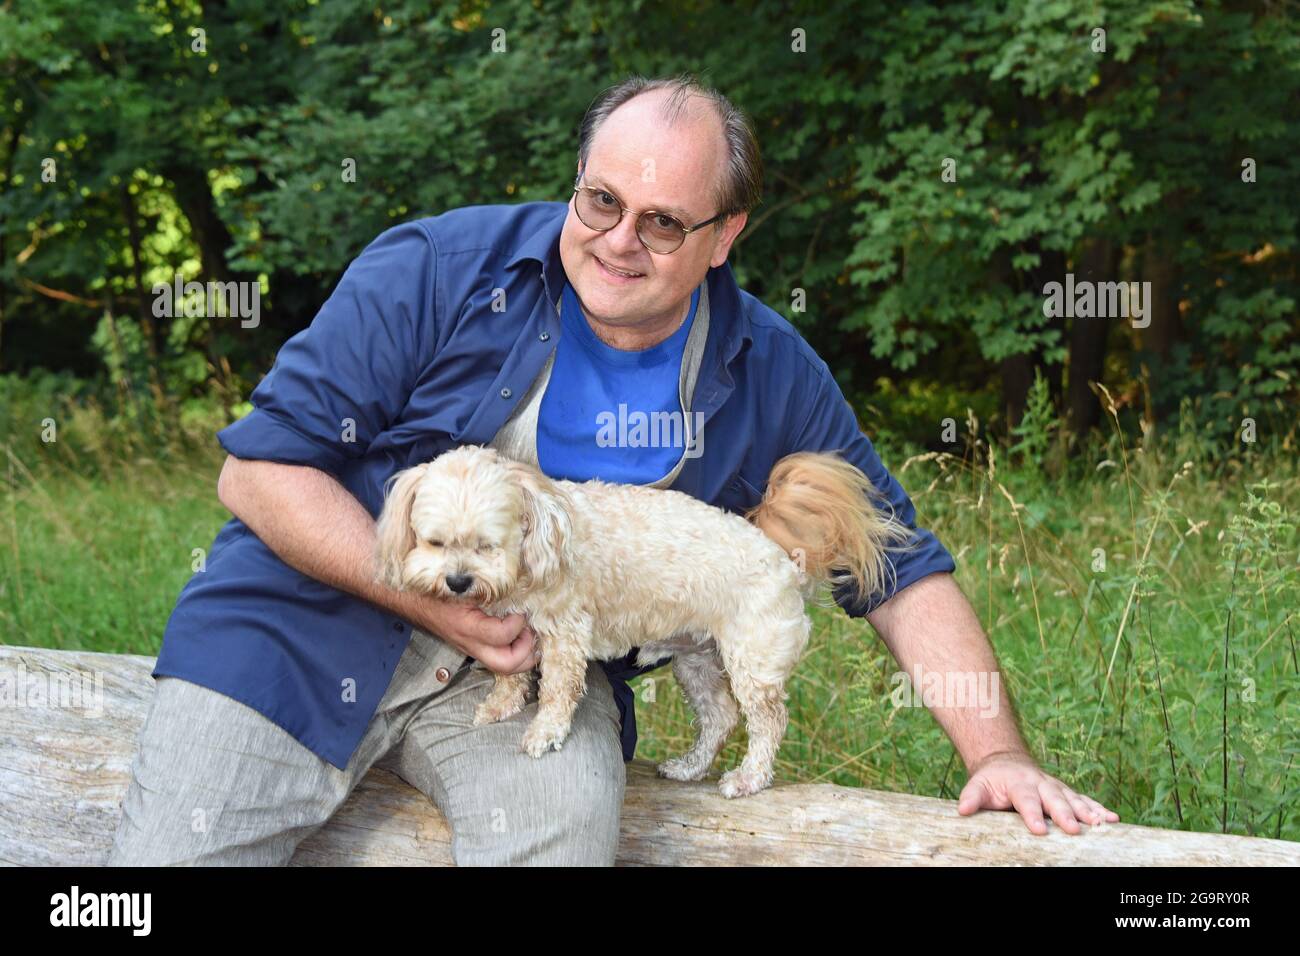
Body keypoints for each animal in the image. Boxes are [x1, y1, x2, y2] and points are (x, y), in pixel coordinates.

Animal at [371, 444, 909, 796]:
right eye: (434, 542)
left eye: (487, 544)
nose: (458, 582)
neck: (541, 535)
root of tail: (785, 559)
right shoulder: (516, 627)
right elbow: (512, 675)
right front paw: (501, 706)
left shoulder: (565, 633)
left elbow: (557, 690)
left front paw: (545, 732)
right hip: (698, 662)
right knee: (720, 716)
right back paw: (689, 768)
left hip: (751, 664)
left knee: (768, 723)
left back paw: (748, 778)